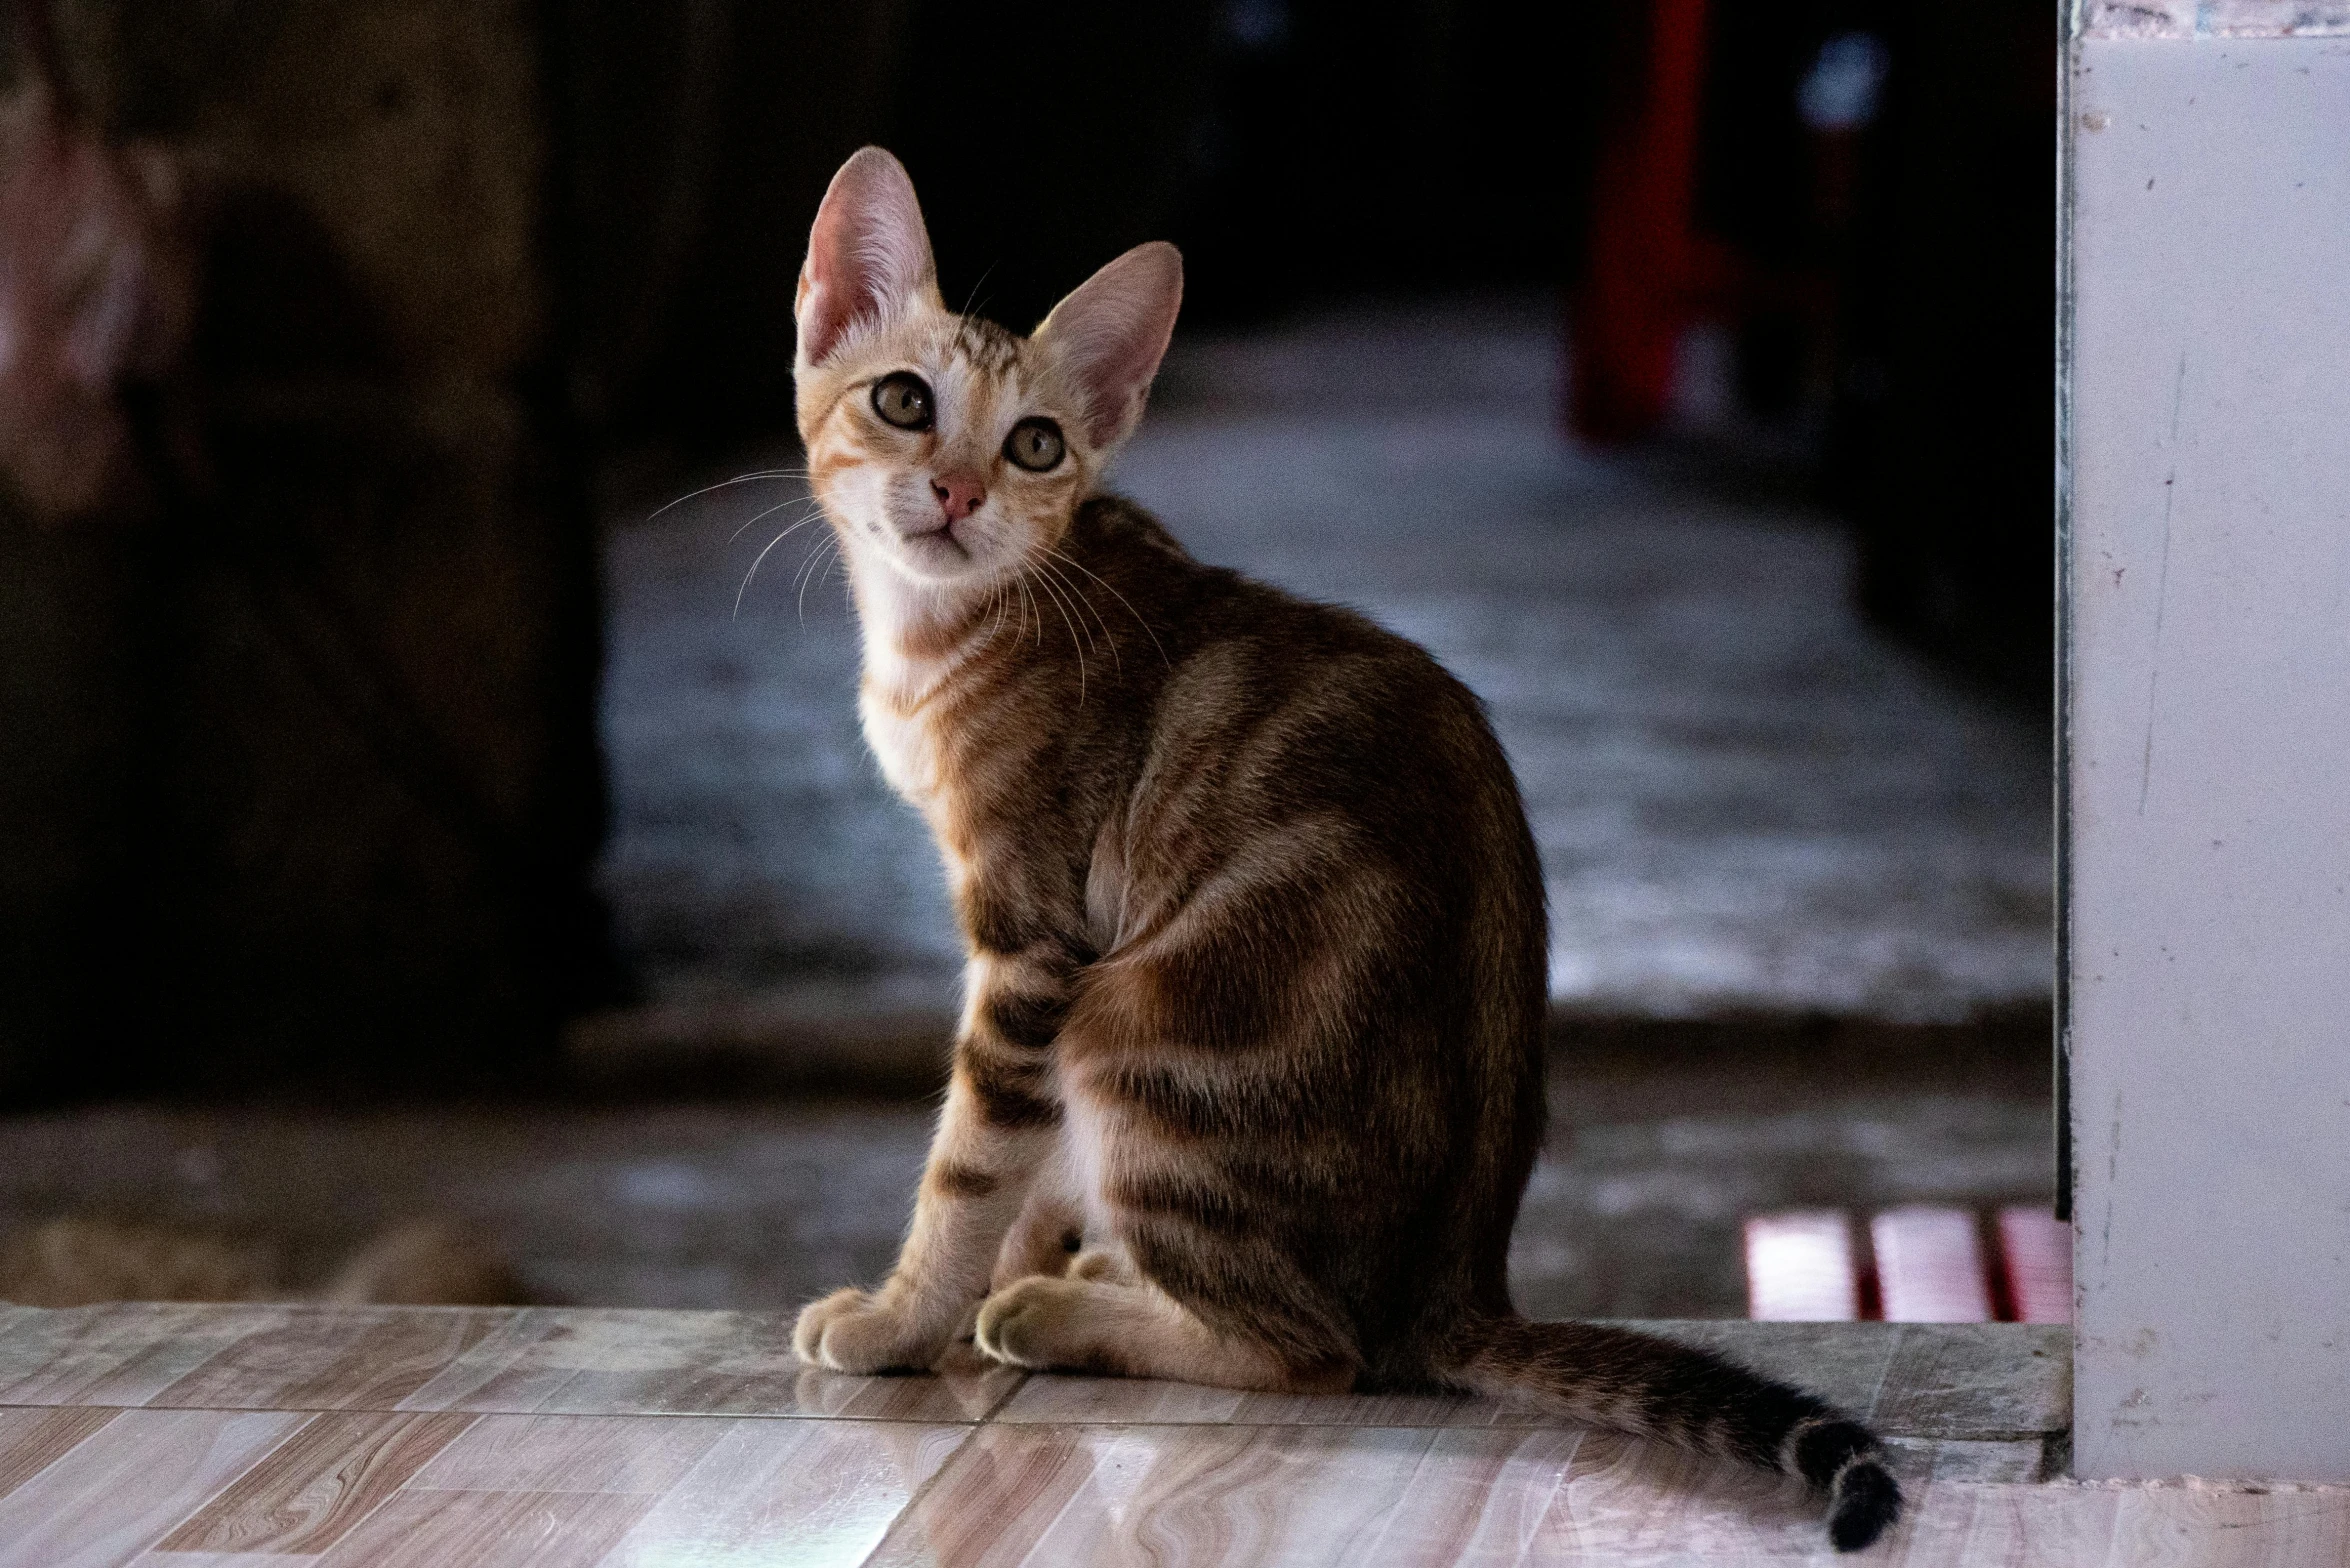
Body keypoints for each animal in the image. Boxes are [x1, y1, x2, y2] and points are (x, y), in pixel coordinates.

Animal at [789, 150, 1908, 1560]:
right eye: (903, 400)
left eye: (1033, 442)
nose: (957, 491)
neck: (954, 627)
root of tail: (1457, 1282)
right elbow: (1025, 1165)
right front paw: (1005, 1262)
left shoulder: (1035, 945)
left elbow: (975, 1155)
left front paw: (904, 1314)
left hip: (1134, 1025)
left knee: (1315, 1350)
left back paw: (1071, 1313)